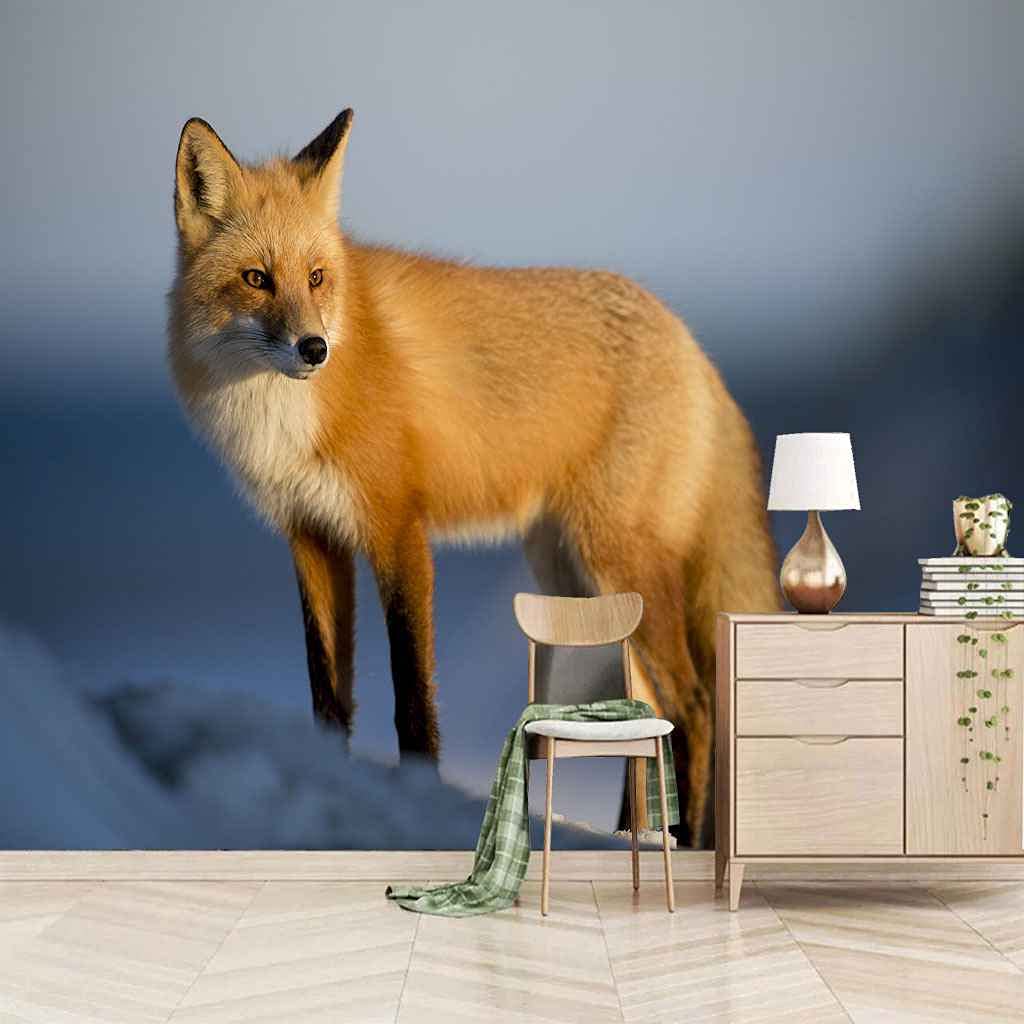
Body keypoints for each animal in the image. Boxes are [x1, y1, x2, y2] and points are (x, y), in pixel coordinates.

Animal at [167, 108, 780, 846]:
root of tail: (691, 342)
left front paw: (422, 795)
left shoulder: (398, 528)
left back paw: (679, 842)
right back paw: (629, 837)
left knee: (692, 704)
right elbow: (327, 693)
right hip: (577, 578)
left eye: (316, 277)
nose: (314, 348)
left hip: (615, 560)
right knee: (640, 708)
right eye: (257, 278)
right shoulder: (312, 536)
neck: (286, 415)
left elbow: (411, 693)